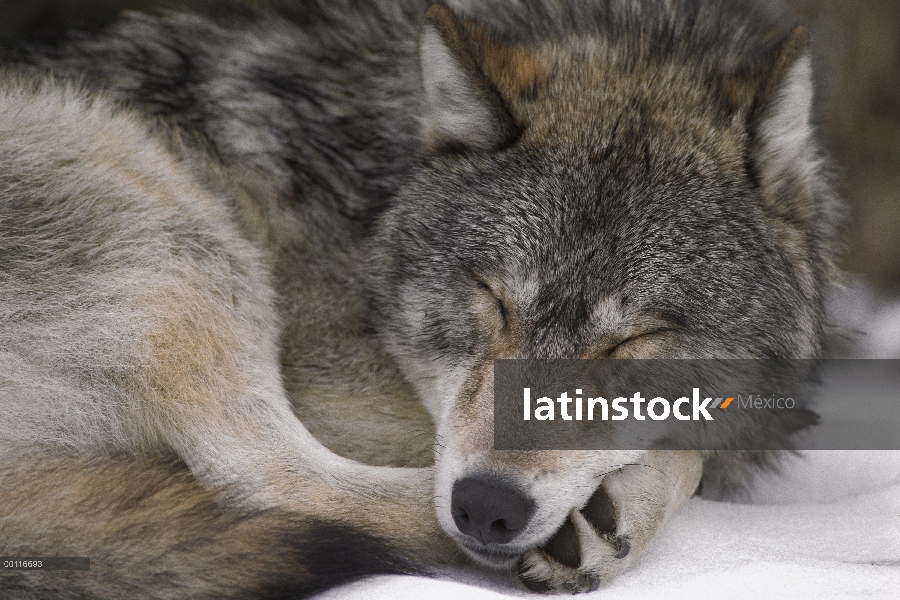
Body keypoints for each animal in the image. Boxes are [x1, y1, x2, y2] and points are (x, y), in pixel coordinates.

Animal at [1, 0, 844, 596]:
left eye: (629, 343)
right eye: (493, 300)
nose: (487, 507)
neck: (373, 204)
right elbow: (691, 457)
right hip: (159, 201)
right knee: (282, 482)